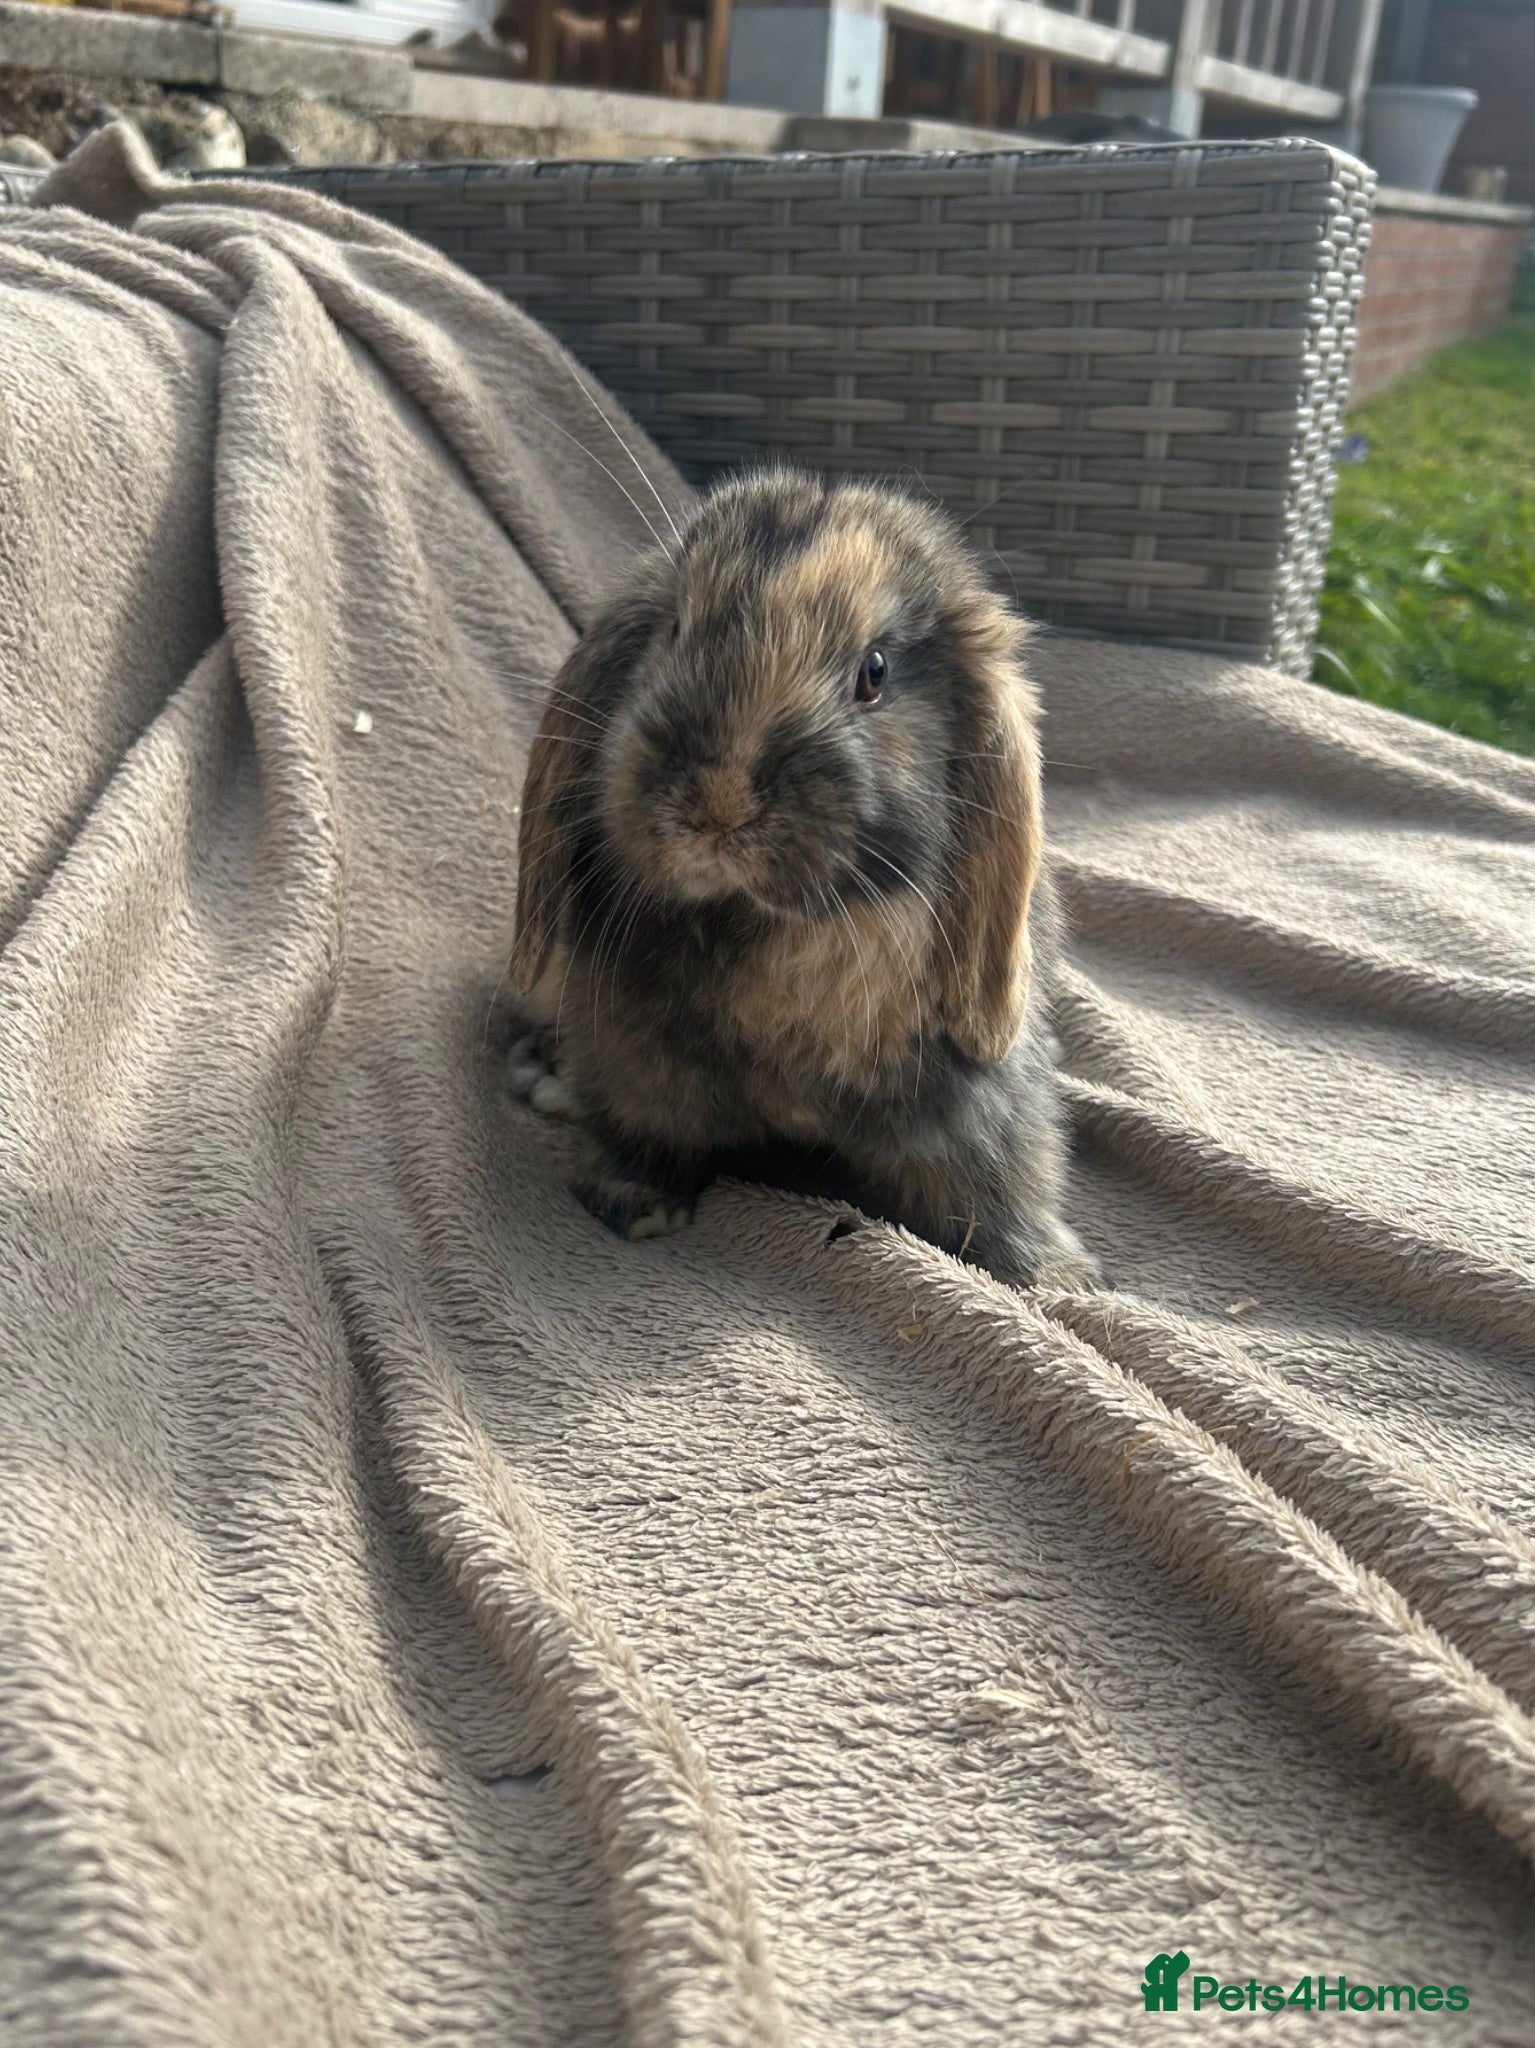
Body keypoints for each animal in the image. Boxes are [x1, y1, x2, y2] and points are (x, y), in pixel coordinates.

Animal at [505, 466, 1099, 1291]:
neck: (777, 934)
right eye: (674, 632)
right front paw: (634, 1205)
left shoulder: (972, 1108)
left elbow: (995, 1184)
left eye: (874, 673)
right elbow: (642, 1132)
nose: (718, 803)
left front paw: (1048, 1278)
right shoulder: (635, 1060)